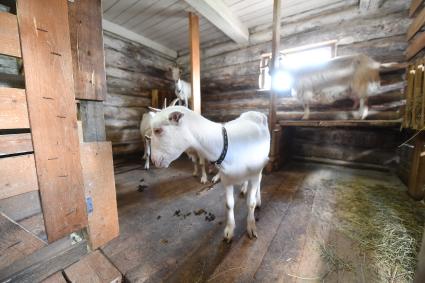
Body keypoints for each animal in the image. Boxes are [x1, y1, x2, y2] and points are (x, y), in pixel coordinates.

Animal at [148, 106, 268, 242]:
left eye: (157, 130)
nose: (154, 161)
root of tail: (255, 112)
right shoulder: (227, 180)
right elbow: (229, 204)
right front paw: (229, 230)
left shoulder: (254, 174)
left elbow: (250, 203)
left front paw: (251, 227)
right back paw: (243, 188)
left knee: (260, 179)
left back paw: (258, 200)